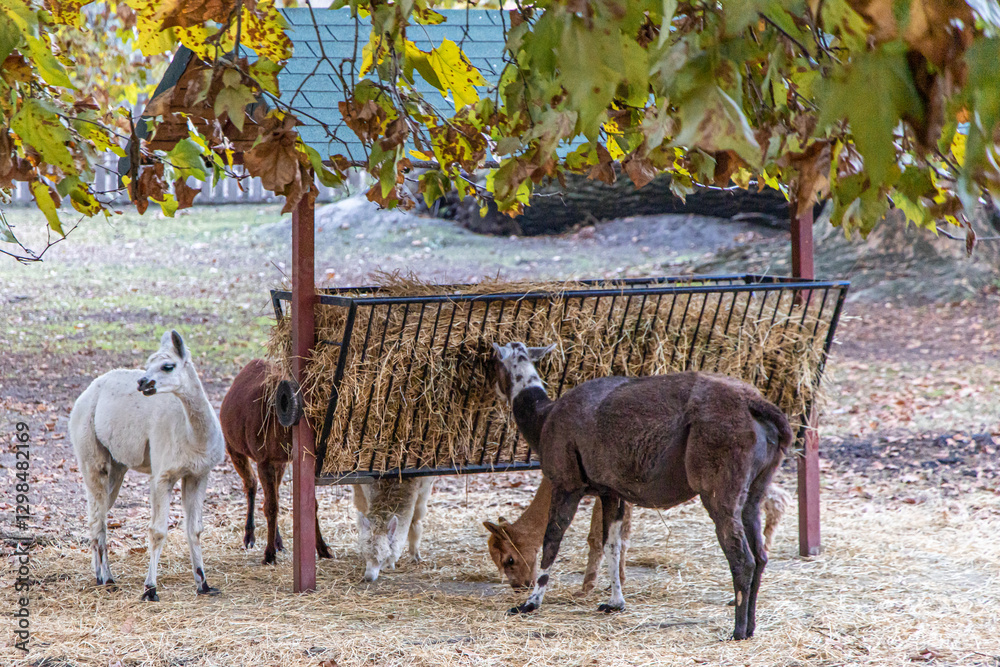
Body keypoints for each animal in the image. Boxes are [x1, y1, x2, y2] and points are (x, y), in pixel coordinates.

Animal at [69, 331, 225, 601]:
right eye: (147, 364)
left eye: (167, 366)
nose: (142, 382)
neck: (195, 438)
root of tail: (88, 391)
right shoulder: (163, 475)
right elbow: (158, 531)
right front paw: (150, 589)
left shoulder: (198, 474)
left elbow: (194, 529)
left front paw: (203, 584)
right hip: (90, 454)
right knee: (99, 521)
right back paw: (108, 579)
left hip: (117, 466)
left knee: (95, 515)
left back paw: (99, 576)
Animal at [220, 359, 332, 565]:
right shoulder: (263, 458)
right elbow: (270, 506)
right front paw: (269, 554)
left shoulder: (289, 459)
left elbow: (310, 504)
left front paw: (323, 549)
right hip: (233, 447)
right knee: (251, 484)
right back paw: (250, 537)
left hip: (277, 462)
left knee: (272, 493)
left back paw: (278, 541)